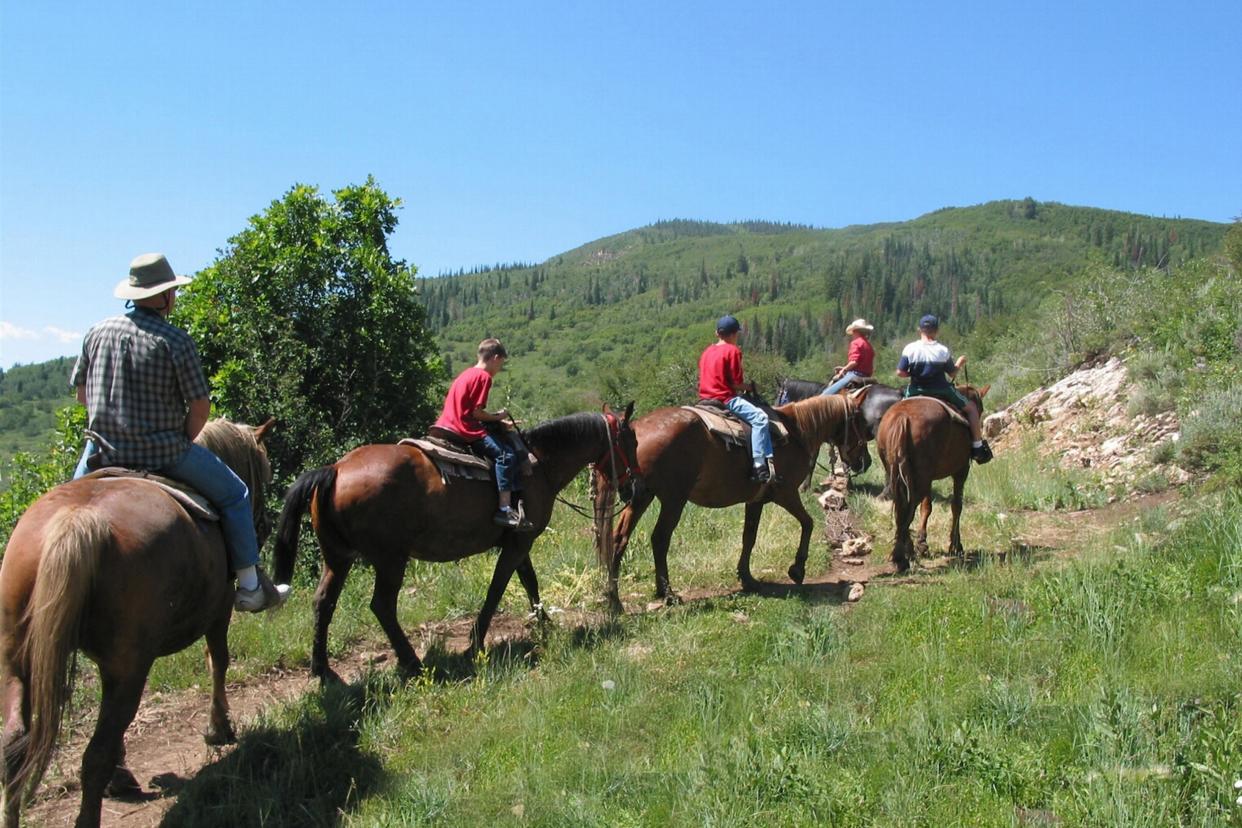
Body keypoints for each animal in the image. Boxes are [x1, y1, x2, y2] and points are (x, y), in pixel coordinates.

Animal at [0, 422, 273, 828]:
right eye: (265, 472)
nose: (265, 525)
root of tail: (77, 521)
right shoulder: (219, 609)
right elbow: (218, 660)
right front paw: (218, 728)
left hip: (18, 660)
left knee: (14, 747)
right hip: (131, 667)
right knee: (93, 755)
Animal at [275, 404, 635, 685]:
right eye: (630, 441)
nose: (633, 486)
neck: (539, 463)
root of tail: (335, 470)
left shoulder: (520, 540)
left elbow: (529, 581)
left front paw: (544, 623)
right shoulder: (518, 543)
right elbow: (497, 589)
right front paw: (475, 643)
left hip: (338, 557)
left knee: (324, 602)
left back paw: (322, 670)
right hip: (390, 559)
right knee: (382, 606)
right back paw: (412, 662)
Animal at [596, 394, 869, 615]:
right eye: (860, 421)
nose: (865, 461)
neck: (797, 431)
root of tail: (638, 428)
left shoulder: (756, 500)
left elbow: (749, 536)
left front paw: (747, 578)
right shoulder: (786, 493)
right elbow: (808, 523)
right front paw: (797, 569)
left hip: (640, 496)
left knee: (619, 538)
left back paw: (615, 598)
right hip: (673, 499)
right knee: (660, 539)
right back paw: (667, 593)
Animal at [879, 387, 993, 571]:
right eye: (980, 409)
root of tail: (902, 417)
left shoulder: (928, 479)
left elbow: (926, 507)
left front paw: (922, 544)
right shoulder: (961, 471)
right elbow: (956, 506)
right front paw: (955, 545)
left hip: (902, 475)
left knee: (901, 508)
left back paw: (905, 552)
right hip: (920, 479)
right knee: (908, 508)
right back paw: (901, 557)